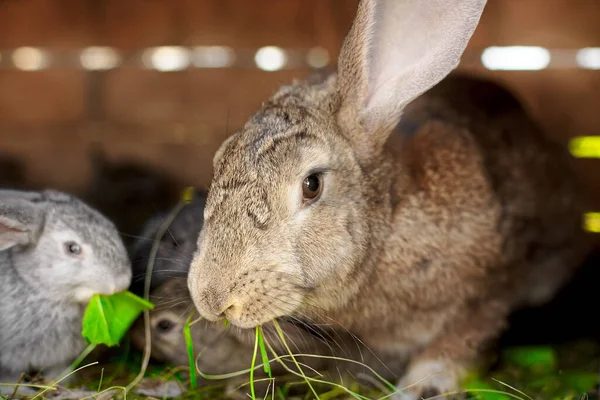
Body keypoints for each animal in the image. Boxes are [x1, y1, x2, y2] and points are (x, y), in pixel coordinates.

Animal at [186, 1, 592, 398]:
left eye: (312, 185)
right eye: (219, 160)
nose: (212, 300)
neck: (390, 227)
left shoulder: (491, 290)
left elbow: (463, 335)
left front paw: (423, 385)